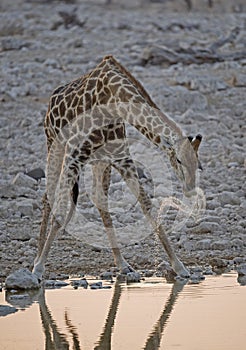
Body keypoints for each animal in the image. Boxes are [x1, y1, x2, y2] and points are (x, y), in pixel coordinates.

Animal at [32, 55, 202, 284]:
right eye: (178, 160)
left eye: (197, 163)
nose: (190, 189)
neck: (112, 99)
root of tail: (51, 101)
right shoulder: (74, 154)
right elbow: (59, 210)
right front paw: (38, 269)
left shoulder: (121, 157)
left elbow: (147, 206)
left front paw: (180, 267)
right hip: (55, 145)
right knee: (48, 197)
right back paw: (36, 260)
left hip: (99, 161)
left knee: (99, 200)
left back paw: (123, 265)